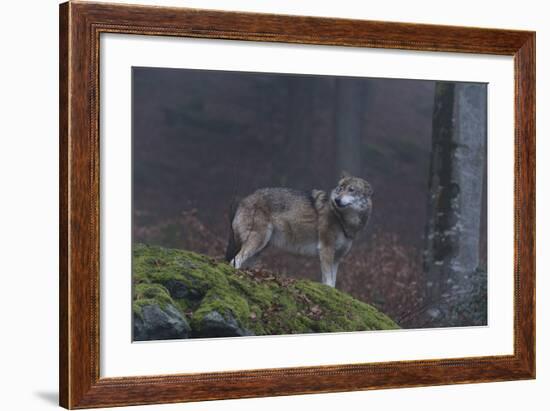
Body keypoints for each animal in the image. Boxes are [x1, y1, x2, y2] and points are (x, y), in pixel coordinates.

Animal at [225, 172, 376, 288]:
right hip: (257, 242)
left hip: (259, 250)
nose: (337, 200)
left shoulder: (337, 257)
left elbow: (333, 281)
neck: (342, 219)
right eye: (340, 189)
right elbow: (328, 281)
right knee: (235, 261)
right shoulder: (326, 249)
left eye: (351, 190)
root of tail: (243, 200)